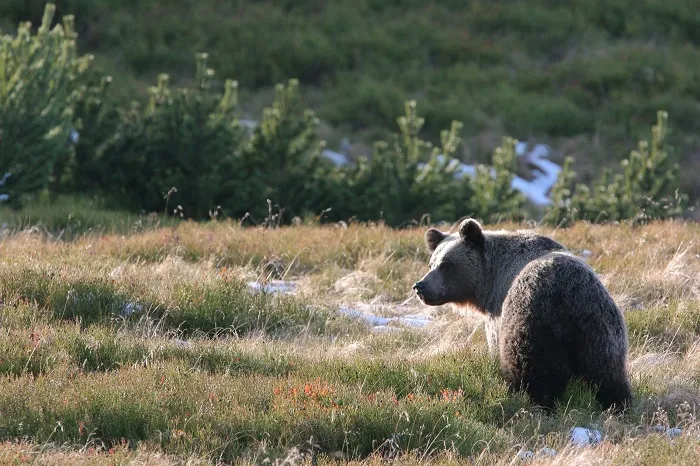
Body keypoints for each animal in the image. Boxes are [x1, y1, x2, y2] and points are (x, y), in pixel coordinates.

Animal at [412, 218, 632, 412]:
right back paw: (617, 404)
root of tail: (568, 292)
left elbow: (495, 347)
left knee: (531, 368)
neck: (490, 279)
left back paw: (534, 401)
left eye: (446, 264)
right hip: (599, 326)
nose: (420, 286)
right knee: (607, 372)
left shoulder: (498, 312)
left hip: (531, 318)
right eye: (431, 263)